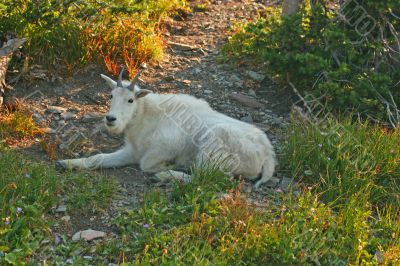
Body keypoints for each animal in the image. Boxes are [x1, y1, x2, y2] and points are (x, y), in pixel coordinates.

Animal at [55, 69, 276, 189]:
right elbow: (98, 158)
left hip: (212, 148)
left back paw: (165, 176)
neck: (146, 117)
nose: (111, 119)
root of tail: (267, 156)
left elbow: (146, 164)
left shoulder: (166, 146)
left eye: (130, 99)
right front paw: (65, 163)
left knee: (209, 177)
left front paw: (166, 166)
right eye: (111, 96)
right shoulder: (132, 152)